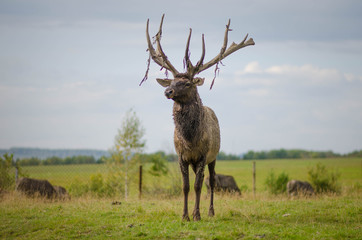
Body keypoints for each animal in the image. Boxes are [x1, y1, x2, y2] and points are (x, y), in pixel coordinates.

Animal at [140, 14, 253, 221]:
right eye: (171, 81)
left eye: (186, 83)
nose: (167, 91)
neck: (190, 140)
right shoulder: (182, 156)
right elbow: (186, 186)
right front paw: (185, 215)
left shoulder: (202, 155)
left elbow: (199, 185)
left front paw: (197, 215)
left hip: (214, 156)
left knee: (212, 181)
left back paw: (210, 211)